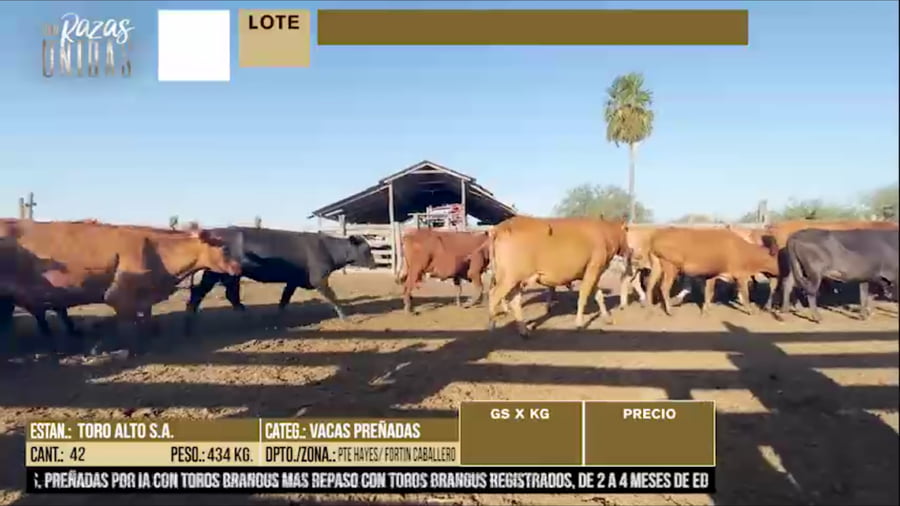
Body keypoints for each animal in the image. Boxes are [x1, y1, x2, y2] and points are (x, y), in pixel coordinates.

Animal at [0, 219, 242, 354]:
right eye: (225, 249)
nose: (239, 268)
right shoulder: (118, 296)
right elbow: (128, 325)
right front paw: (125, 349)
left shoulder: (144, 296)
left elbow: (146, 318)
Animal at [185, 228, 377, 330]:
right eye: (367, 250)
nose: (375, 265)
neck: (328, 248)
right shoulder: (319, 279)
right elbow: (333, 297)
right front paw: (346, 317)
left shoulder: (293, 281)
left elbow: (285, 299)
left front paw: (278, 317)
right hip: (224, 275)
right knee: (221, 295)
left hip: (218, 275)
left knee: (205, 294)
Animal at [486, 216, 631, 337]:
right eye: (626, 231)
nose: (630, 250)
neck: (604, 233)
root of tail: (499, 227)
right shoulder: (593, 269)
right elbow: (583, 296)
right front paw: (579, 323)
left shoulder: (593, 272)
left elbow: (599, 296)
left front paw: (607, 318)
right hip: (508, 278)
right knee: (493, 296)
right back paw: (491, 326)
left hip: (515, 279)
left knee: (514, 301)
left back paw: (524, 331)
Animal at [646, 227, 780, 316]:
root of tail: (657, 235)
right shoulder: (741, 276)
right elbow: (745, 294)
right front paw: (750, 310)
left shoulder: (712, 275)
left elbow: (708, 292)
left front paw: (706, 309)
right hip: (670, 266)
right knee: (664, 287)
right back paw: (669, 311)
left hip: (657, 265)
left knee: (650, 285)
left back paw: (650, 308)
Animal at [763, 220, 899, 310]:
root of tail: (794, 236)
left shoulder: (867, 276)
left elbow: (865, 293)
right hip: (813, 272)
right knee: (808, 290)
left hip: (796, 268)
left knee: (789, 284)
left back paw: (784, 310)